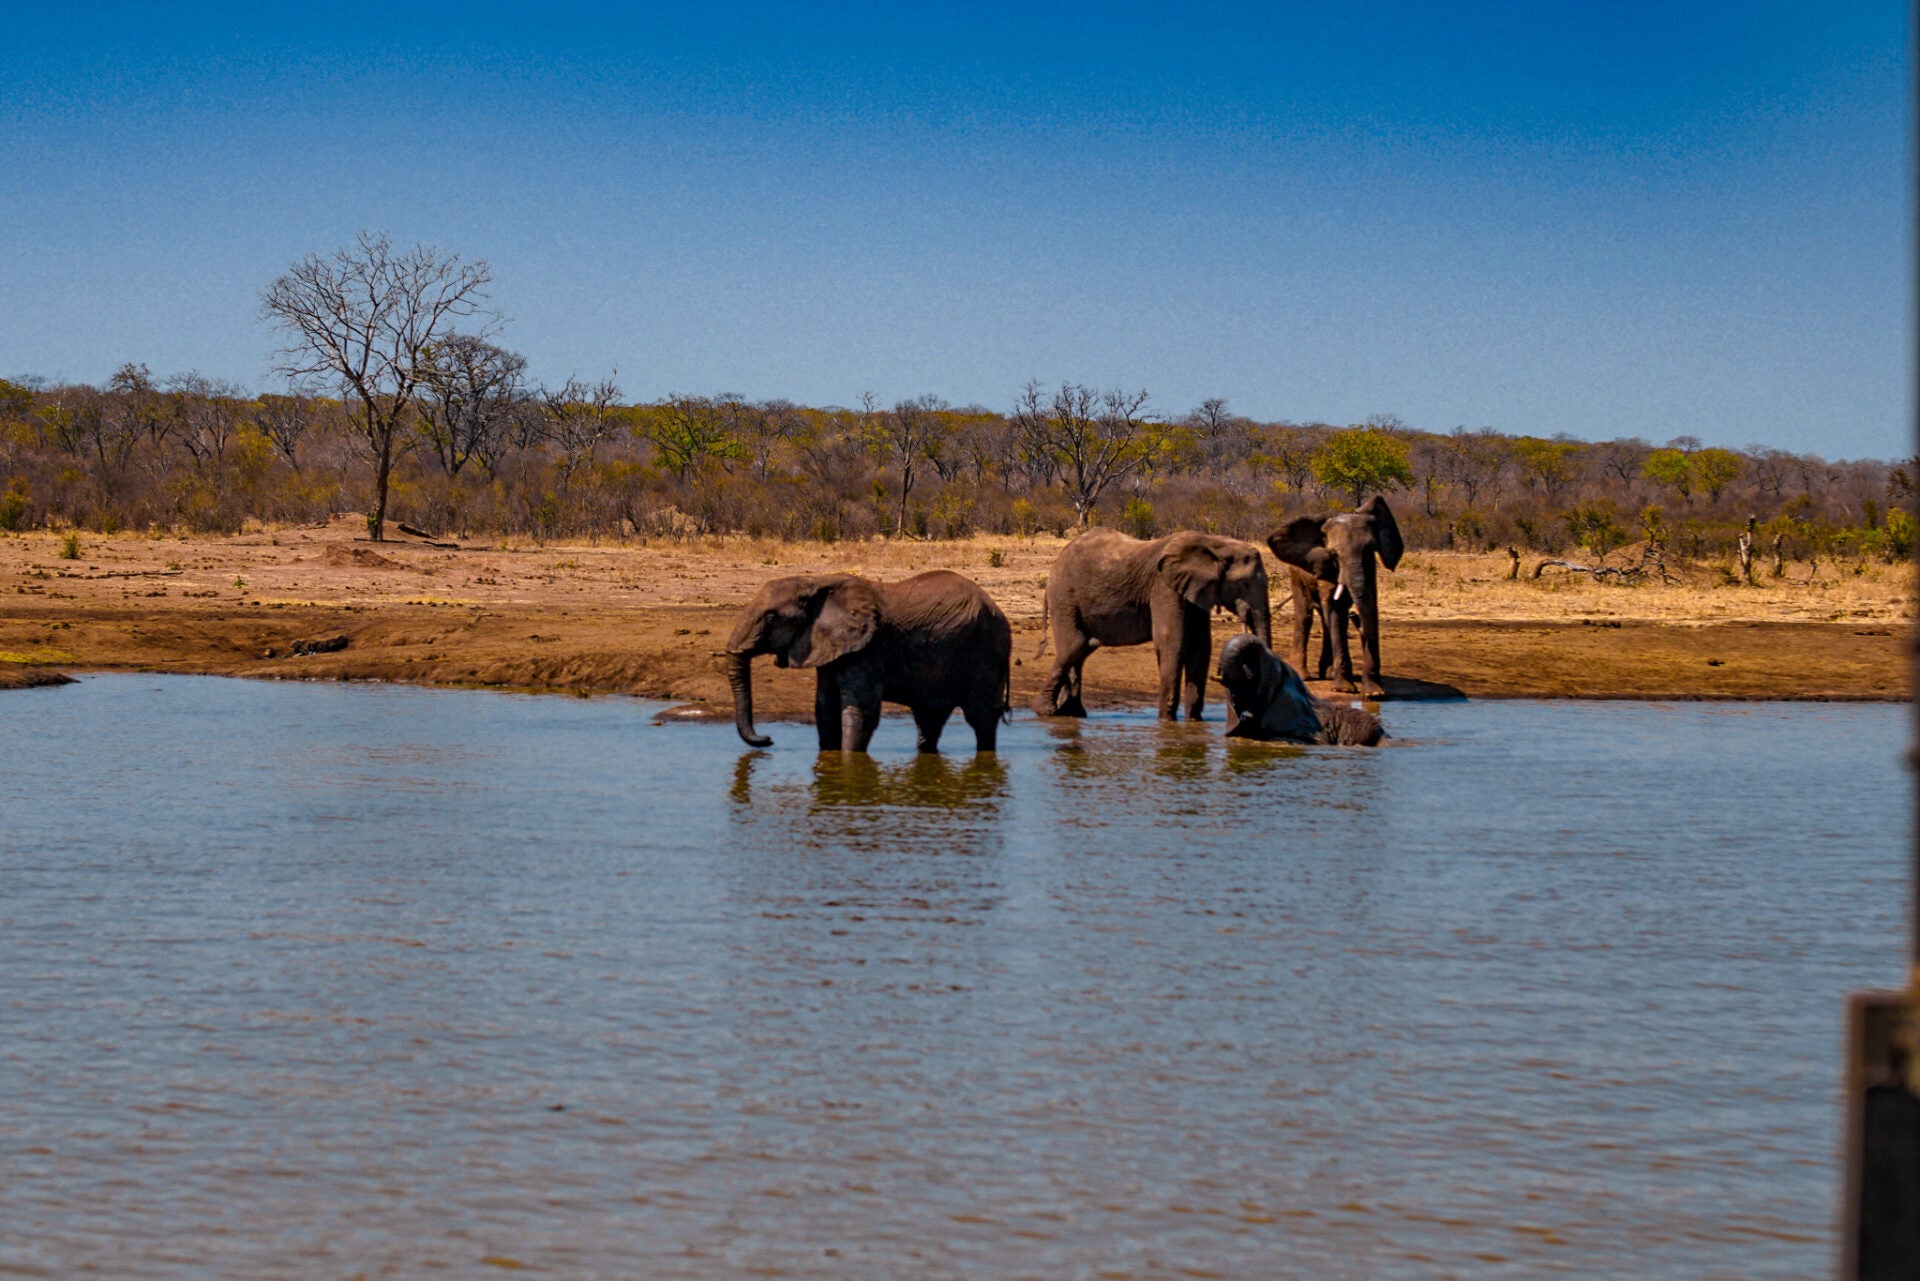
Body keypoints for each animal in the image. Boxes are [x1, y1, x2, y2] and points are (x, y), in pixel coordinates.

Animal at [724, 569, 1011, 754]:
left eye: (771, 618)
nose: (768, 739)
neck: (815, 583)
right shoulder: (829, 646)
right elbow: (825, 708)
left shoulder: (868, 647)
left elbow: (860, 709)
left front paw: (850, 763)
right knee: (929, 718)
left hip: (986, 653)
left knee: (980, 716)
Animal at [1033, 529, 1272, 721]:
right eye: (1244, 584)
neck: (1214, 543)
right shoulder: (1164, 586)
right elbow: (1172, 640)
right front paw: (1166, 722)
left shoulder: (1195, 590)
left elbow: (1200, 645)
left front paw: (1193, 721)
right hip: (1064, 597)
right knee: (1074, 645)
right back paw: (1047, 712)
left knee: (1083, 649)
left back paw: (1073, 714)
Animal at [1266, 495, 1404, 698]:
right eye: (1333, 554)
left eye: (1370, 549)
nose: (1355, 616)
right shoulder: (1326, 566)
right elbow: (1335, 608)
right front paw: (1345, 689)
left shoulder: (1370, 568)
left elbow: (1371, 607)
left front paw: (1374, 693)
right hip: (1296, 574)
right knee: (1305, 615)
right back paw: (1304, 675)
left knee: (1326, 620)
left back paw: (1328, 672)